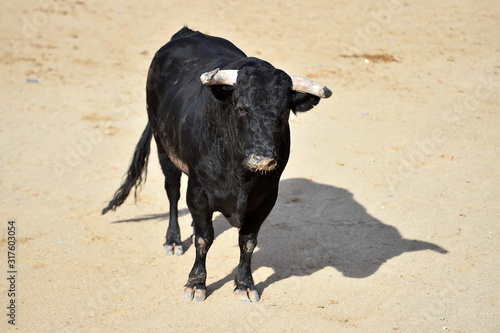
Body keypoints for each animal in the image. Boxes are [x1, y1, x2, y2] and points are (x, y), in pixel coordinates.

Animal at [102, 26, 332, 300]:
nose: (263, 158)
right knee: (172, 191)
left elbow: (248, 241)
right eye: (242, 108)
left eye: (284, 112)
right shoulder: (199, 191)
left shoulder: (266, 198)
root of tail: (186, 32)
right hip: (163, 147)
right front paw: (195, 283)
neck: (241, 175)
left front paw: (245, 284)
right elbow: (204, 239)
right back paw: (173, 241)